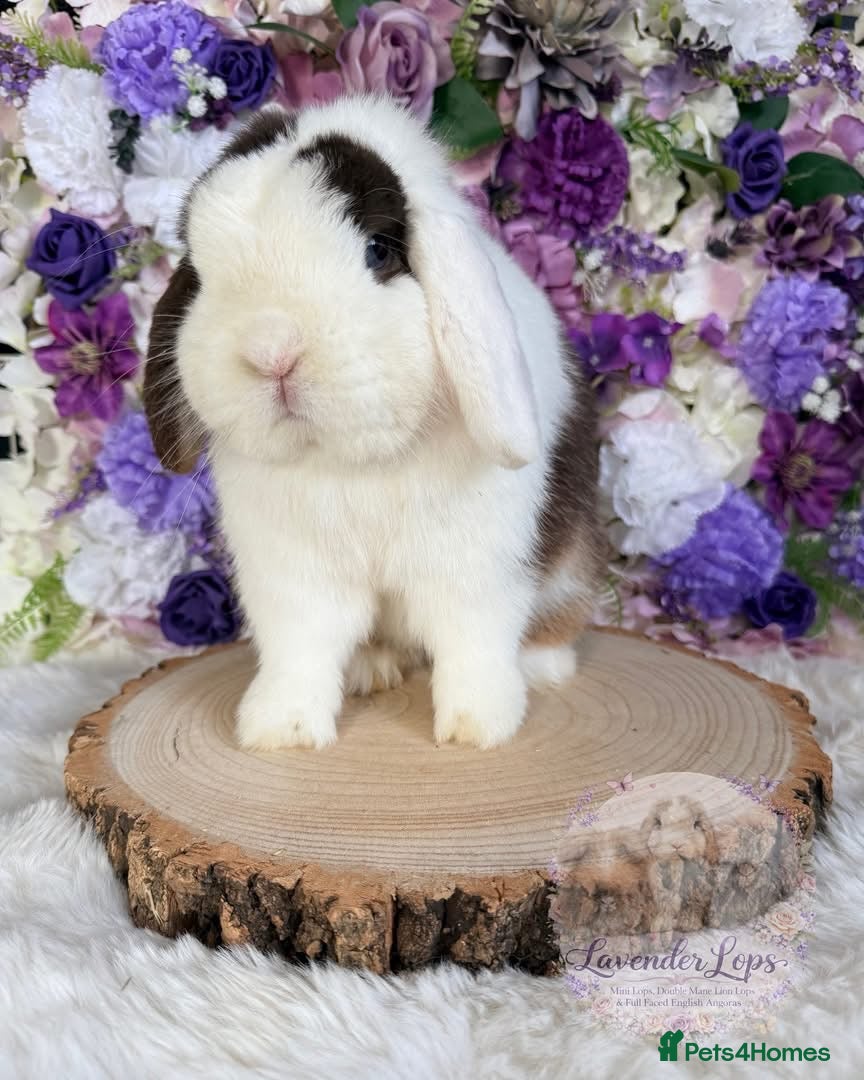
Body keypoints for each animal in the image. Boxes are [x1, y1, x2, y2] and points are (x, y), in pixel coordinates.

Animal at [143, 95, 604, 752]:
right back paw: (371, 670)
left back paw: (541, 668)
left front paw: (476, 730)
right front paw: (280, 731)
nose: (271, 351)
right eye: (201, 276)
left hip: (572, 566)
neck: (356, 461)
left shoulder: (475, 569)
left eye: (379, 251)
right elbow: (298, 652)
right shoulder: (293, 577)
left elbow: (474, 647)